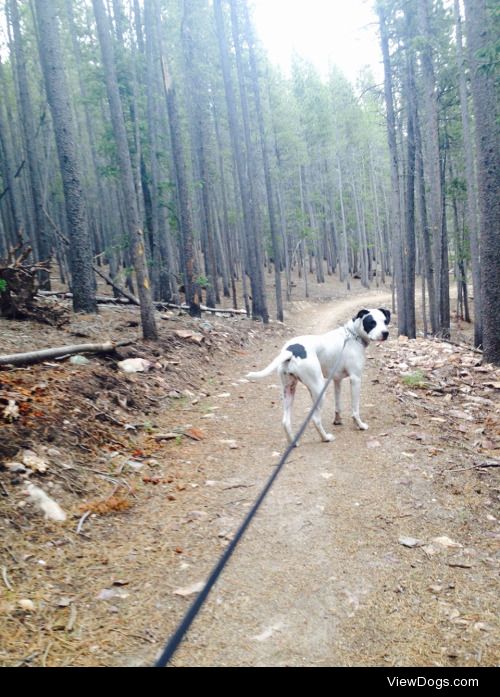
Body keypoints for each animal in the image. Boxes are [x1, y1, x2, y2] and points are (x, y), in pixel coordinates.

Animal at [247, 308, 390, 444]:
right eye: (372, 322)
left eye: (385, 321)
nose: (385, 333)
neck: (352, 335)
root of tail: (290, 351)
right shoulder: (356, 379)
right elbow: (355, 410)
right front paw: (360, 425)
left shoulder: (337, 380)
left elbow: (338, 405)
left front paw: (337, 420)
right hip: (318, 389)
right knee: (315, 419)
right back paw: (325, 438)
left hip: (289, 390)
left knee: (285, 421)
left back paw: (294, 442)